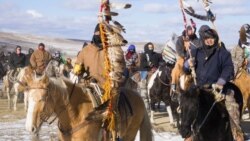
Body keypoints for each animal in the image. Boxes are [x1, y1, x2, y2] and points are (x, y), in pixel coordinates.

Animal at [23, 71, 152, 141]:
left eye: (43, 98)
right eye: (27, 97)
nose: (30, 128)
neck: (76, 114)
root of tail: (139, 97)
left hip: (130, 134)